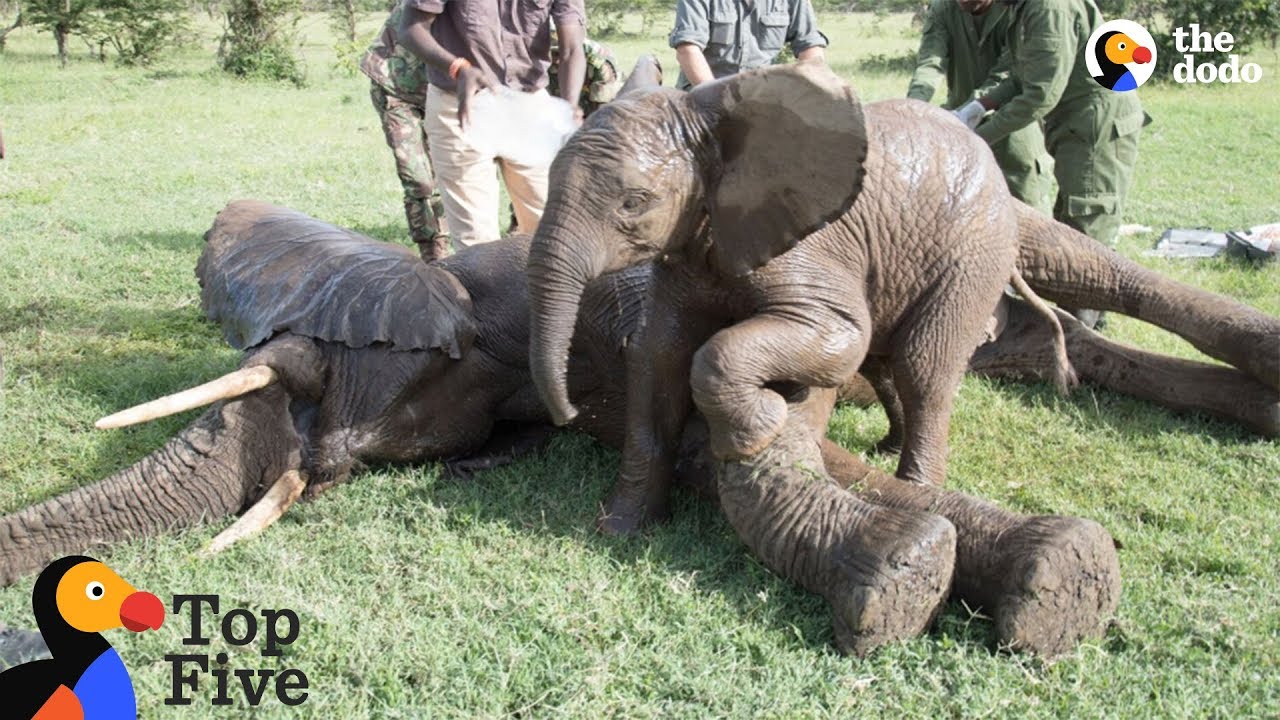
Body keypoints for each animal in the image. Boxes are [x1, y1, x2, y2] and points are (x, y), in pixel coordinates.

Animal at [1, 202, 1275, 657]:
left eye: (367, 380)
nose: (312, 460)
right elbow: (729, 449)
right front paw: (983, 574)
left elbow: (761, 434)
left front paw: (1038, 576)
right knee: (1051, 341)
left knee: (1093, 269)